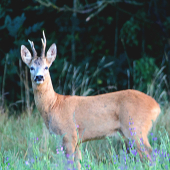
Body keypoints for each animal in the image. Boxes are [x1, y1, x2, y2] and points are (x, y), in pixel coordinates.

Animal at [20, 30, 160, 169]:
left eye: (46, 67)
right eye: (31, 68)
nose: (39, 77)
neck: (53, 105)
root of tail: (156, 106)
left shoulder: (69, 134)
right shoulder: (76, 140)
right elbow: (78, 164)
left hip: (135, 128)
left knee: (150, 155)